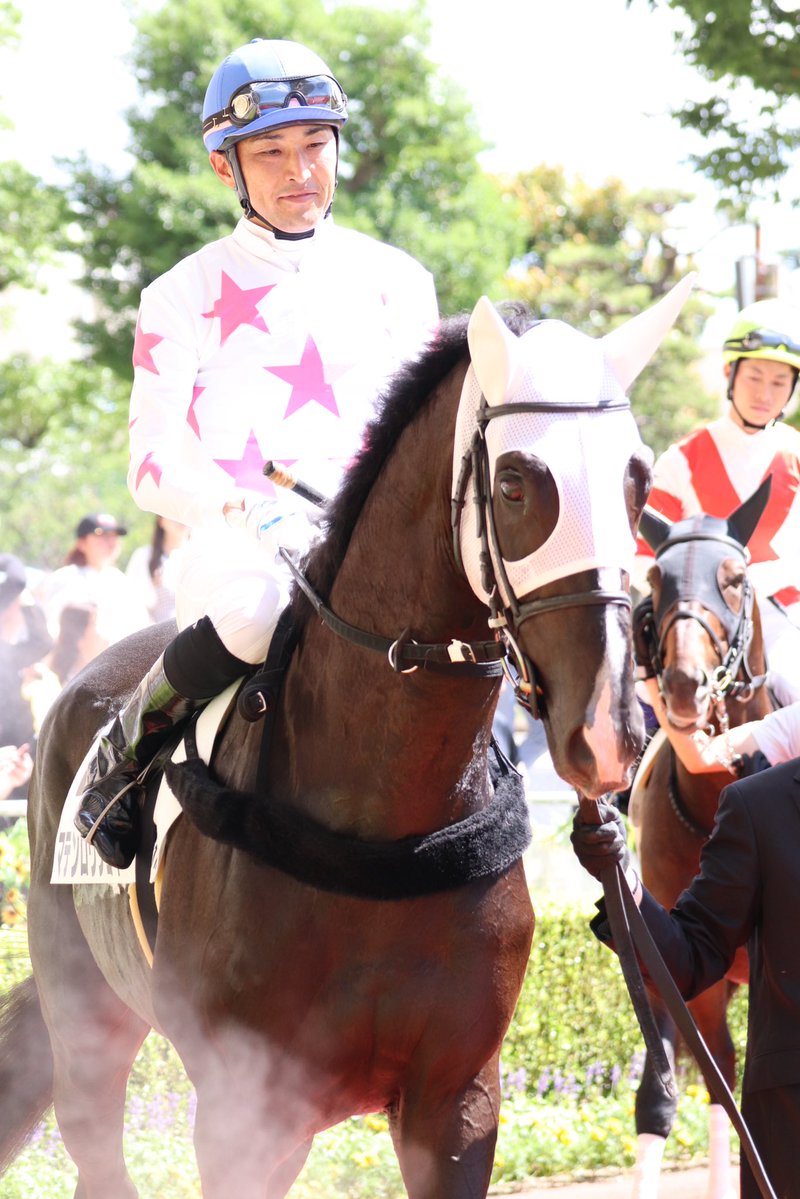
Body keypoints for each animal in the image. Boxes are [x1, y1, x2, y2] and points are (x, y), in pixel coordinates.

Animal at [0, 283, 689, 1199]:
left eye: (637, 479)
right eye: (514, 482)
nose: (610, 726)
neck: (387, 816)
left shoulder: (457, 1097)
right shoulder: (241, 1109)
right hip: (87, 1022)